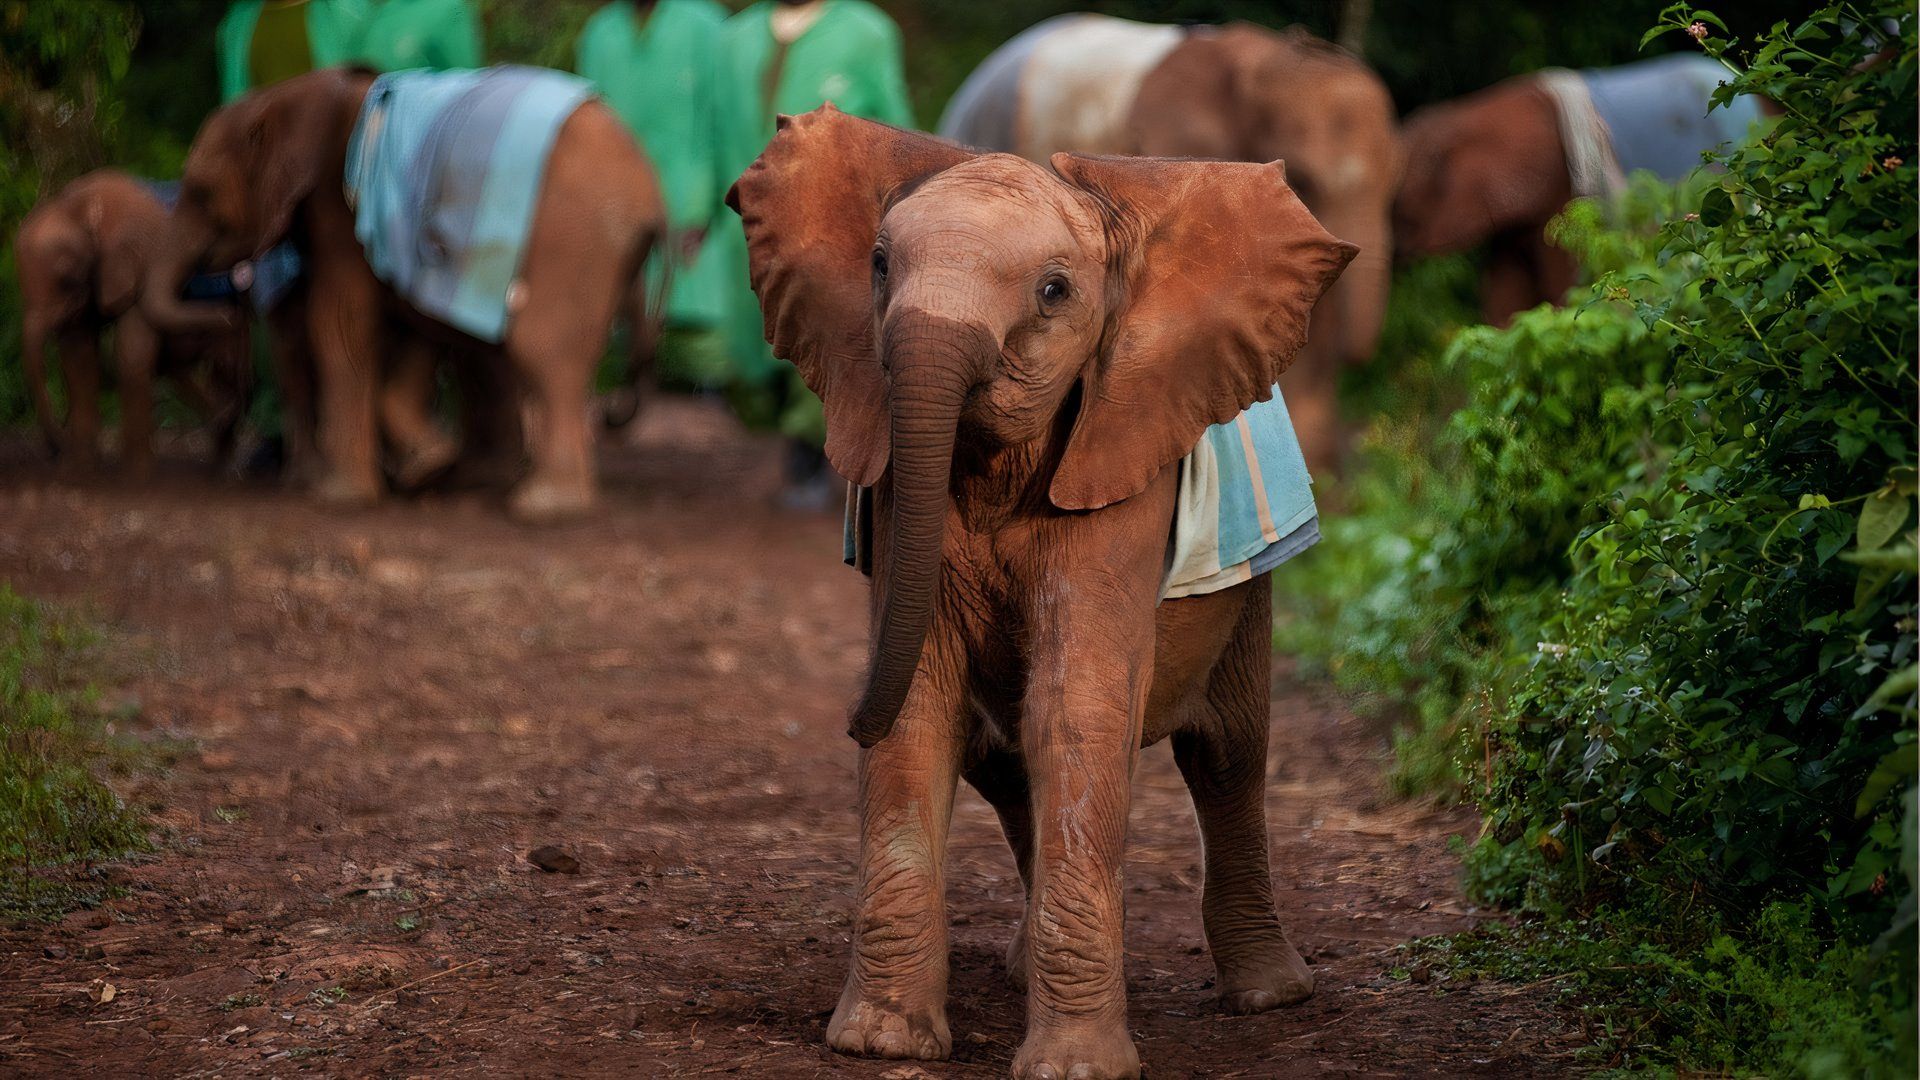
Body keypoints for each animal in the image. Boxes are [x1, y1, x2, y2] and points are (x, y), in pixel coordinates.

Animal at [11, 170, 251, 472]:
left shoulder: (141, 264)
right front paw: (80, 470)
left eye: (67, 276)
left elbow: (131, 353)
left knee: (224, 369)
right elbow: (79, 359)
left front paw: (135, 475)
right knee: (185, 371)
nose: (55, 449)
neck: (79, 205)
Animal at [142, 67, 668, 522]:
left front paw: (341, 498)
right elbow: (413, 326)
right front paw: (425, 469)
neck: (291, 93)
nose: (229, 310)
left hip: (571, 241)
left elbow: (340, 323)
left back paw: (542, 507)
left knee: (540, 349)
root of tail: (651, 189)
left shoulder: (339, 210)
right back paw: (486, 483)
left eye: (201, 193)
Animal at [725, 107, 1359, 1076]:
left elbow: (1077, 709)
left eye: (1055, 292)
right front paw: (881, 1042)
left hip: (1250, 596)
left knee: (1226, 756)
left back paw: (1268, 995)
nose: (843, 716)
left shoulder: (1119, 468)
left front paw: (1074, 1068)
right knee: (1003, 758)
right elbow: (920, 711)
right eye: (878, 264)